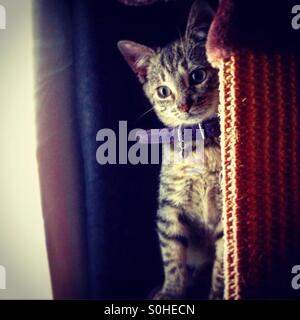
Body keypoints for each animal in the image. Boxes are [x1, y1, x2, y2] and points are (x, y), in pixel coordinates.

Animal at [118, 0, 223, 300]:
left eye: (197, 76)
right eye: (163, 91)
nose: (184, 106)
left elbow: (223, 261)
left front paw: (219, 292)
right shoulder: (169, 208)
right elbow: (173, 256)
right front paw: (172, 291)